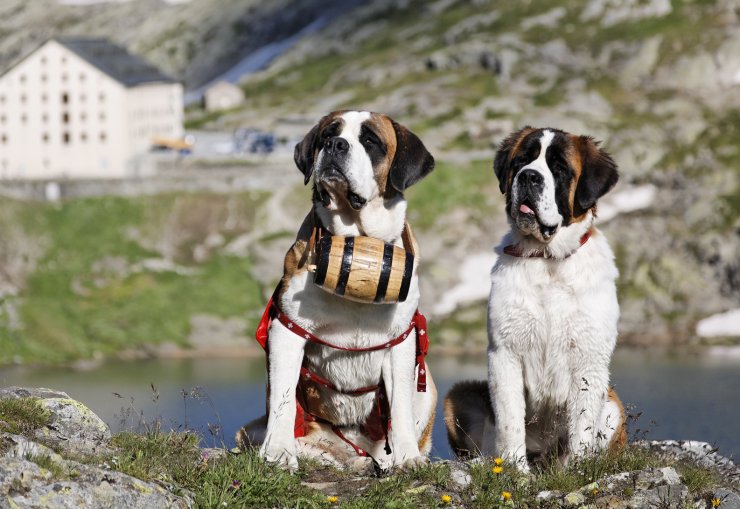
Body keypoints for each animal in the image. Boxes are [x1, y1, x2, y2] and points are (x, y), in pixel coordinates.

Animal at [234, 111, 436, 472]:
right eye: (328, 134)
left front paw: (408, 458)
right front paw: (279, 452)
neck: (356, 239)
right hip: (256, 431)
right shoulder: (287, 331)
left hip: (428, 387)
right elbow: (283, 398)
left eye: (370, 140)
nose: (335, 145)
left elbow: (399, 406)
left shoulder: (401, 340)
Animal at [442, 129, 628, 470]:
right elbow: (510, 418)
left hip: (613, 405)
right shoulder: (504, 353)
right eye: (521, 161)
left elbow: (582, 423)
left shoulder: (589, 357)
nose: (529, 176)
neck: (547, 259)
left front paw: (578, 471)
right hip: (460, 393)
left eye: (559, 167)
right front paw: (515, 469)